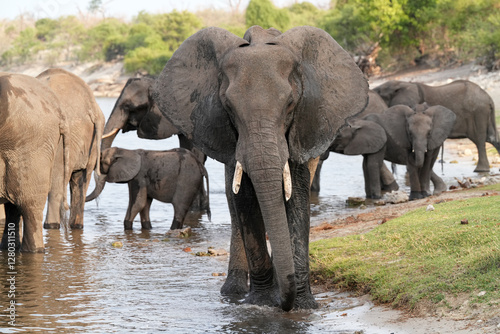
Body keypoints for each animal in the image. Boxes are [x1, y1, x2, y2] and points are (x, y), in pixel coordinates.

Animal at [36, 68, 105, 230]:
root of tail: (92, 106)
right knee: (81, 184)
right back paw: (76, 226)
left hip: (61, 139)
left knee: (55, 186)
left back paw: (50, 225)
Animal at [146, 25, 370, 310]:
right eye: (229, 107)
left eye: (290, 104)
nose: (284, 301)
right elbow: (245, 200)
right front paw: (261, 303)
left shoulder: (300, 127)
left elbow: (296, 197)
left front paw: (303, 306)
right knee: (233, 206)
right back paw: (233, 292)